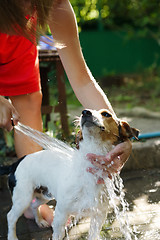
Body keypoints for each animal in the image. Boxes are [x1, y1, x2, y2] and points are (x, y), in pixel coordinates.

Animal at [0, 109, 139, 240]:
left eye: (106, 114)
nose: (85, 112)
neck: (88, 173)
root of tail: (15, 163)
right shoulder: (60, 215)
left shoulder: (98, 215)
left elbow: (93, 235)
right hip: (23, 198)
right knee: (10, 216)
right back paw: (12, 237)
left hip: (44, 195)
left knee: (34, 205)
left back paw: (40, 221)